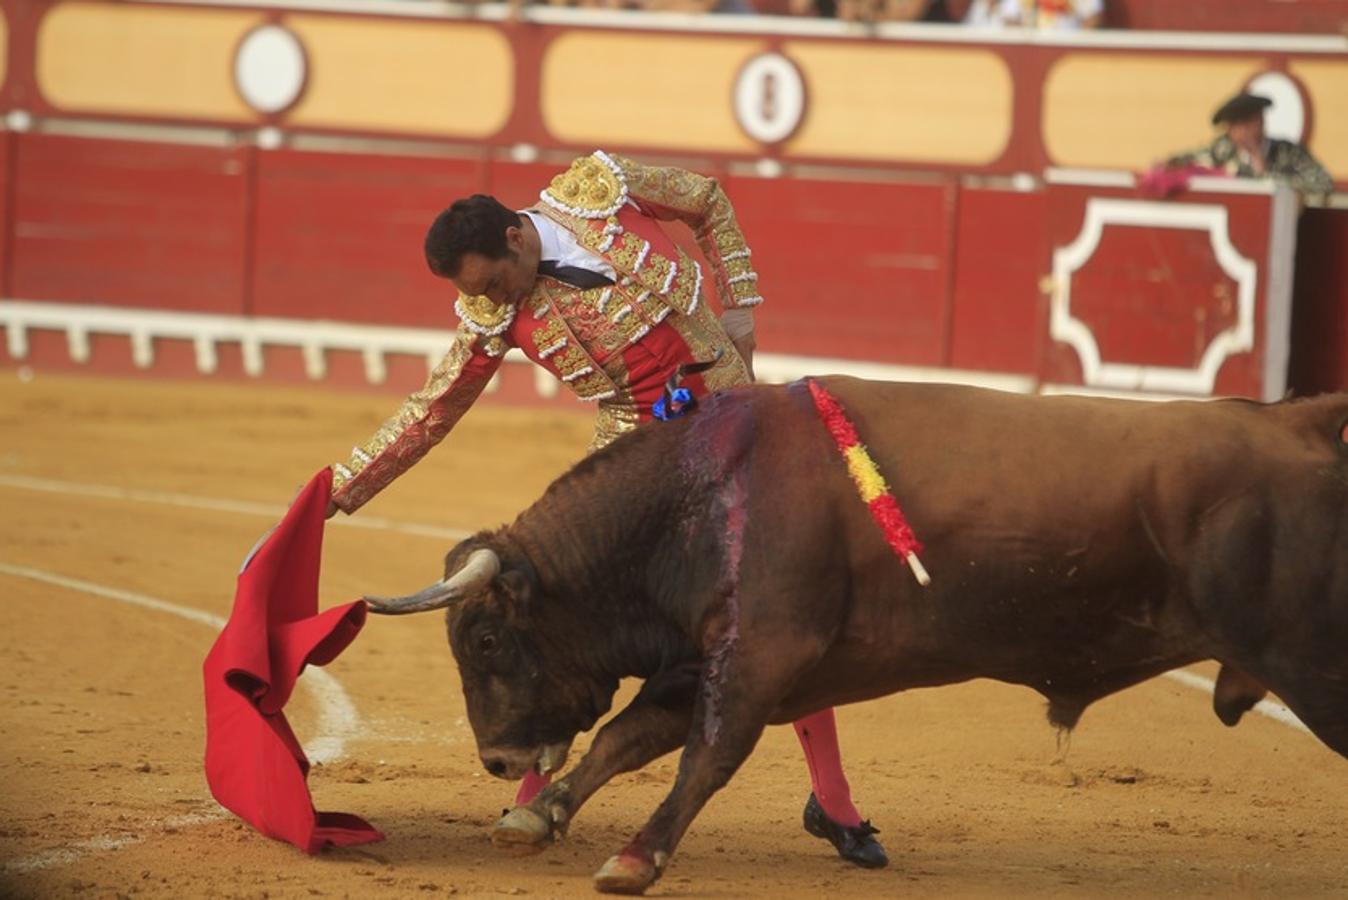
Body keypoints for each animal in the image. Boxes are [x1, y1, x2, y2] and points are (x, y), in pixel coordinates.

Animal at [358, 377, 1348, 894]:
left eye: (486, 642)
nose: (495, 761)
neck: (703, 496)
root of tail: (1298, 418)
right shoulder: (709, 655)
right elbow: (627, 737)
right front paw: (538, 814)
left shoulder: (760, 654)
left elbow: (703, 754)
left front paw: (633, 857)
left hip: (1315, 663)